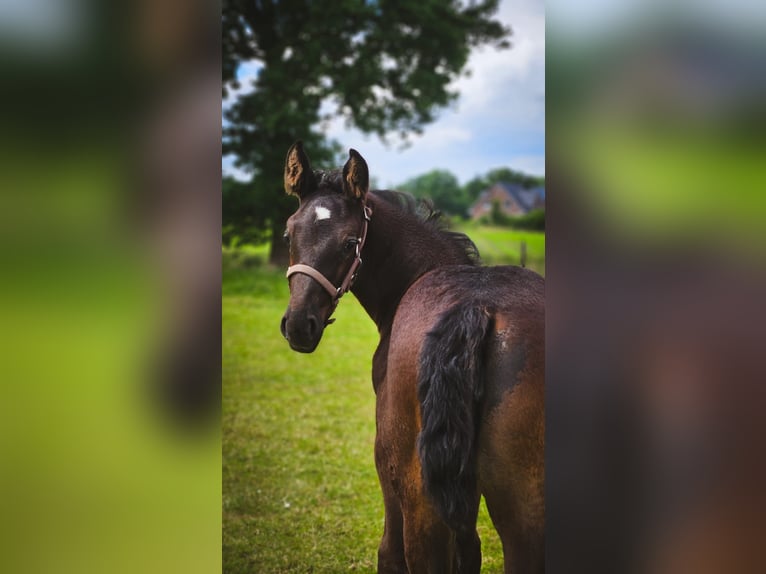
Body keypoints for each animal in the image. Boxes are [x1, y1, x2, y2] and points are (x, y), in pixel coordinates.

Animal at [279, 141, 545, 573]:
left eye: (350, 242)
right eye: (289, 233)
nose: (300, 325)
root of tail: (476, 308)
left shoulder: (385, 458)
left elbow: (389, 551)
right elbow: (468, 551)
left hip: (420, 489)